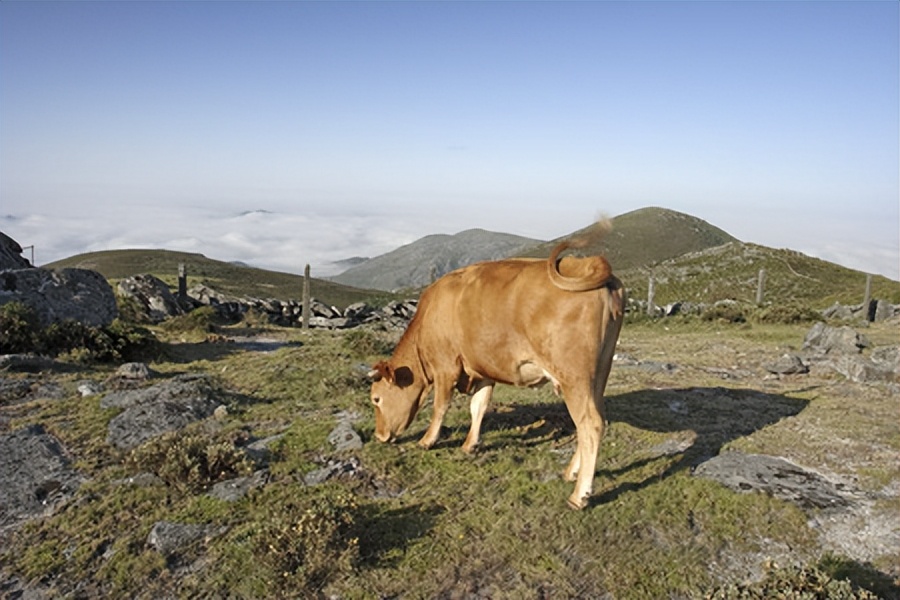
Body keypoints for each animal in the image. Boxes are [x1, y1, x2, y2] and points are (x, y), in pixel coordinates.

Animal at [370, 232, 624, 508]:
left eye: (376, 399)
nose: (379, 436)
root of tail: (589, 263)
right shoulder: (482, 370)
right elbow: (478, 406)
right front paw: (470, 444)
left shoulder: (445, 367)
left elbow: (440, 407)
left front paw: (427, 440)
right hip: (598, 374)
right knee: (595, 418)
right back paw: (571, 472)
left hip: (574, 376)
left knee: (590, 423)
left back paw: (579, 495)